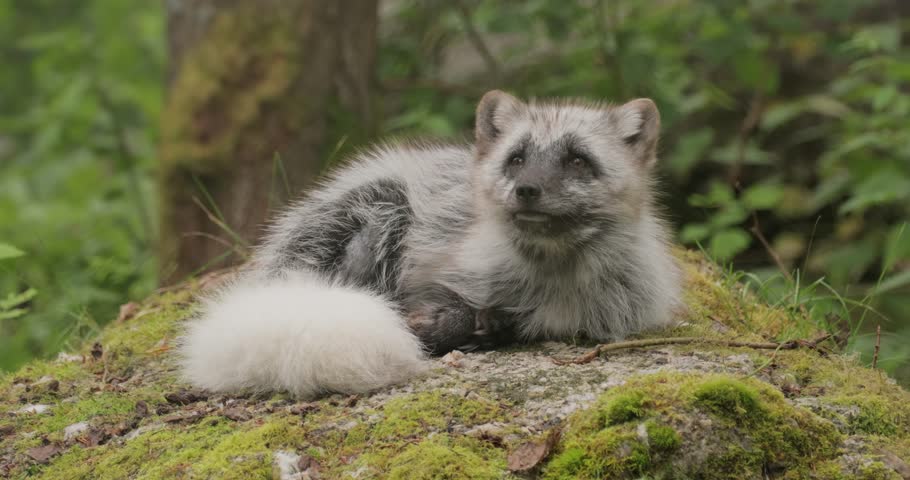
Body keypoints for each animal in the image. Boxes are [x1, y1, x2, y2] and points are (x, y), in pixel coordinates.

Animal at [178, 90, 682, 398]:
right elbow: (452, 311)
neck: (551, 281)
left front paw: (482, 328)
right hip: (382, 208)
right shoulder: (435, 278)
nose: (526, 190)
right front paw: (439, 328)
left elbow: (506, 321)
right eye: (517, 159)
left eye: (578, 160)